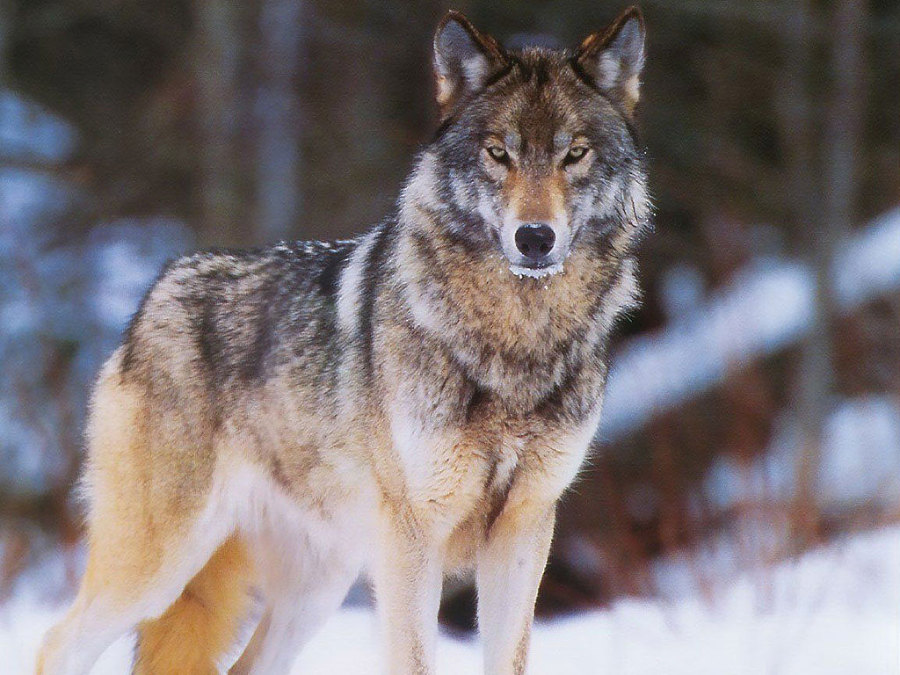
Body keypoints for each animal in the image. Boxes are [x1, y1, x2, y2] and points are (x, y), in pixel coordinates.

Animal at [37, 7, 651, 675]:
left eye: (574, 154)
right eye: (498, 153)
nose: (535, 238)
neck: (516, 342)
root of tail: (157, 290)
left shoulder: (525, 529)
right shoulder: (412, 537)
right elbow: (415, 661)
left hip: (315, 588)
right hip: (157, 569)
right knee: (55, 644)